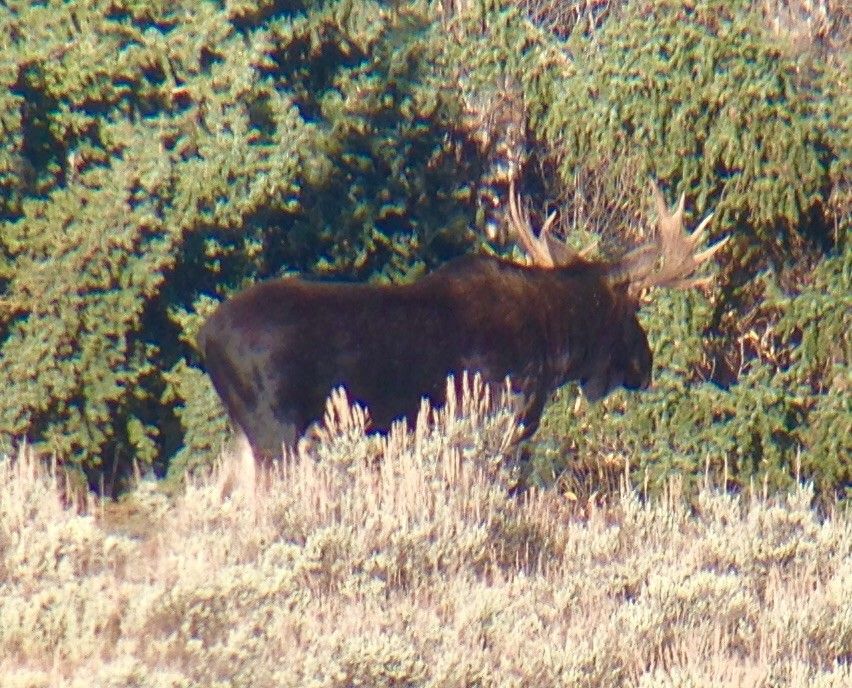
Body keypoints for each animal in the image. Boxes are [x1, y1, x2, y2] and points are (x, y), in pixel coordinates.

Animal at [198, 183, 724, 462]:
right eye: (633, 307)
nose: (644, 364)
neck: (554, 344)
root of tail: (205, 337)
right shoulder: (507, 411)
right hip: (275, 428)